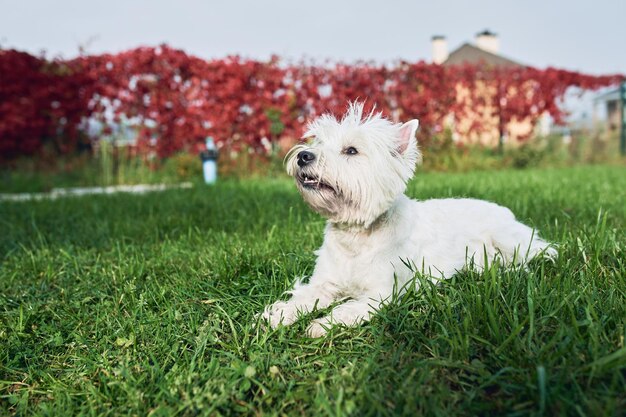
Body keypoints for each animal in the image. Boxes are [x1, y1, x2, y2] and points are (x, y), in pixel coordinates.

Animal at [260, 102, 552, 336]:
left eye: (351, 151)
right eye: (317, 142)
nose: (303, 155)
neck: (356, 236)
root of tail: (504, 210)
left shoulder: (382, 292)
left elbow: (349, 308)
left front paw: (320, 325)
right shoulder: (326, 282)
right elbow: (304, 298)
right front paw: (277, 315)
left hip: (509, 240)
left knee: (540, 254)